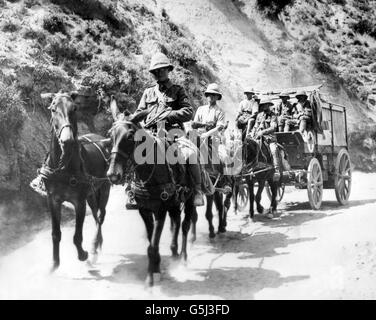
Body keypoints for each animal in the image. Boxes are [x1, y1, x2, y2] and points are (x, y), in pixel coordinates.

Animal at [39, 91, 110, 272]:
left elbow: (77, 236)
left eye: (74, 108)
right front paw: (54, 264)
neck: (63, 168)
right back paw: (98, 245)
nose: (67, 140)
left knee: (101, 216)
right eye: (53, 109)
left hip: (104, 188)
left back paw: (94, 247)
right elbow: (55, 234)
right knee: (96, 215)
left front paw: (83, 254)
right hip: (91, 194)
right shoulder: (53, 200)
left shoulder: (79, 201)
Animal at [105, 98, 195, 288]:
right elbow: (151, 243)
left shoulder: (160, 211)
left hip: (190, 198)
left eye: (130, 136)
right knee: (176, 222)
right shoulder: (144, 210)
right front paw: (156, 269)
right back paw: (174, 254)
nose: (113, 175)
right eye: (110, 134)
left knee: (185, 225)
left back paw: (183, 258)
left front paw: (150, 279)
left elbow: (152, 246)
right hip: (174, 202)